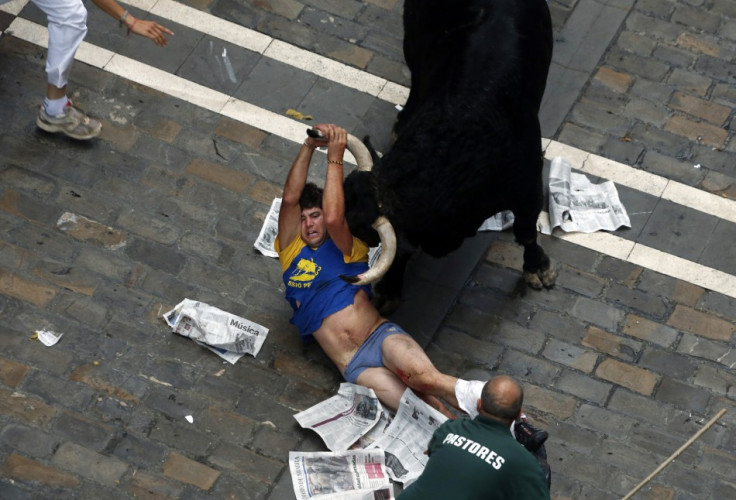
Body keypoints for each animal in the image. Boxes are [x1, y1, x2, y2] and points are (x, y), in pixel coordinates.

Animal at [342, 0, 556, 312]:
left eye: (360, 233)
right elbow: (402, 253)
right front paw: (389, 291)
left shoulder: (528, 187)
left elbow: (526, 229)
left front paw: (538, 267)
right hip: (413, 44)